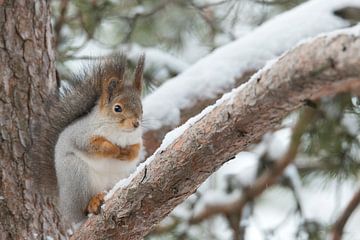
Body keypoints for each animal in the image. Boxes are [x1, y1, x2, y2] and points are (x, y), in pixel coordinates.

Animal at [33, 53, 145, 224]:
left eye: (141, 108)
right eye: (117, 108)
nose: (136, 123)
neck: (119, 133)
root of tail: (64, 204)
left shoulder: (136, 139)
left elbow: (136, 151)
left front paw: (127, 153)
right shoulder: (81, 135)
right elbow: (94, 146)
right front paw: (114, 149)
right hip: (77, 176)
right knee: (82, 209)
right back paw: (93, 203)